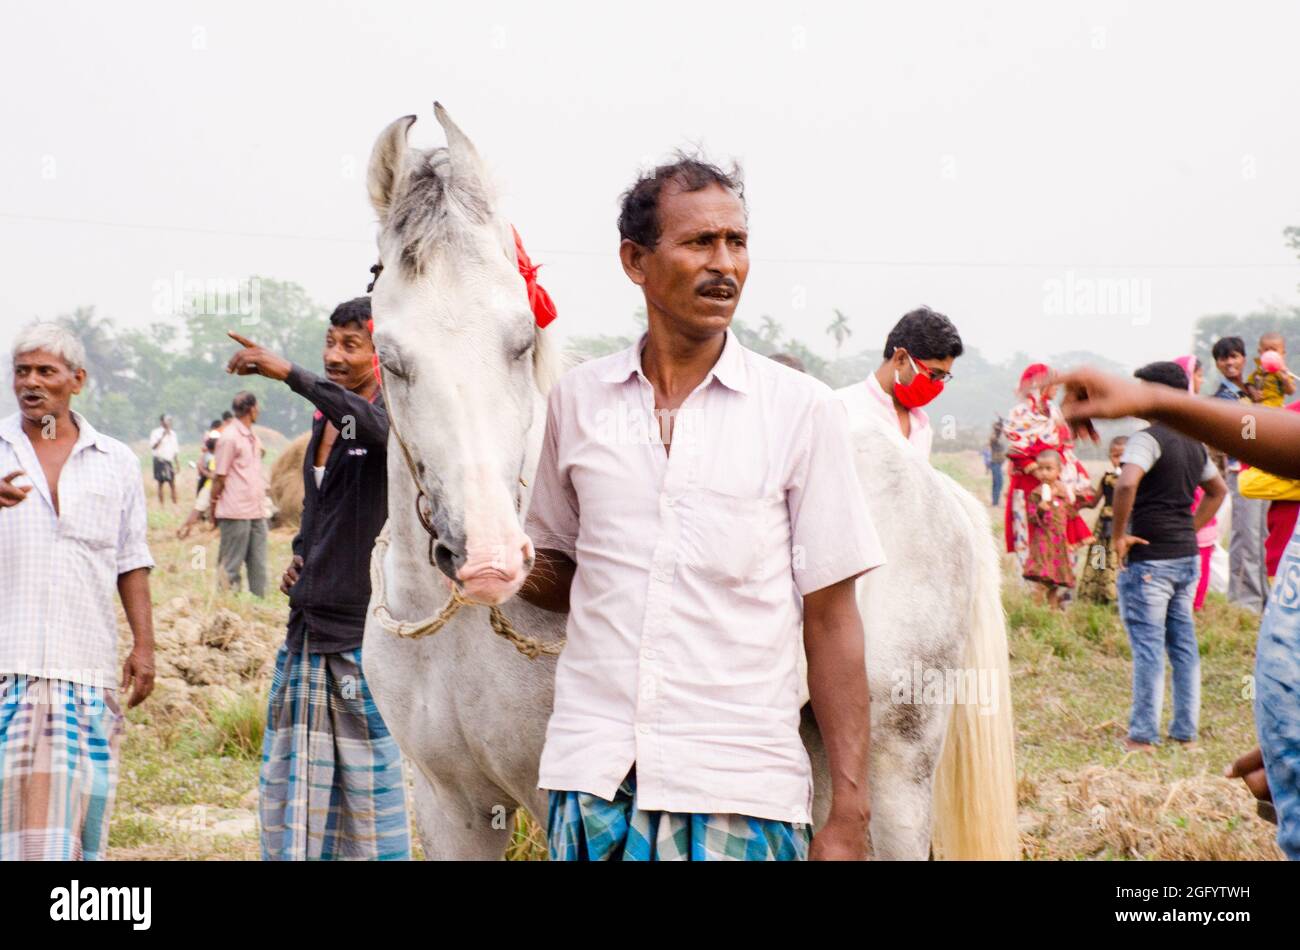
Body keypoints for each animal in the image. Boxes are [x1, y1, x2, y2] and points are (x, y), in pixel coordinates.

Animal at [361, 105, 1019, 862]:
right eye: (390, 357)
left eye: (521, 341)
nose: (490, 559)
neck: (457, 633)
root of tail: (934, 488)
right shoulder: (453, 807)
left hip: (896, 766)